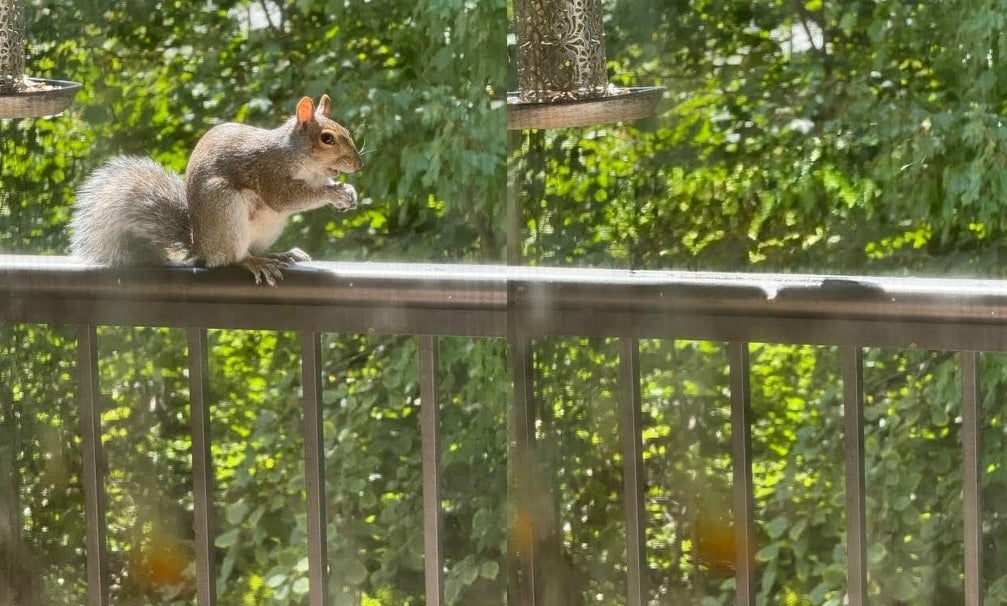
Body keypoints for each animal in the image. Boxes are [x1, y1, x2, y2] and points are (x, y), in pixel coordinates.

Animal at [69, 93, 362, 283]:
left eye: (347, 131)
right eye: (327, 138)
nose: (358, 164)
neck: (302, 159)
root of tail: (201, 249)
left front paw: (348, 192)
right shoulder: (269, 171)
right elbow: (285, 197)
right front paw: (334, 193)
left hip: (267, 227)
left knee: (255, 248)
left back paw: (282, 254)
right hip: (224, 208)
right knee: (232, 258)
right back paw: (252, 262)